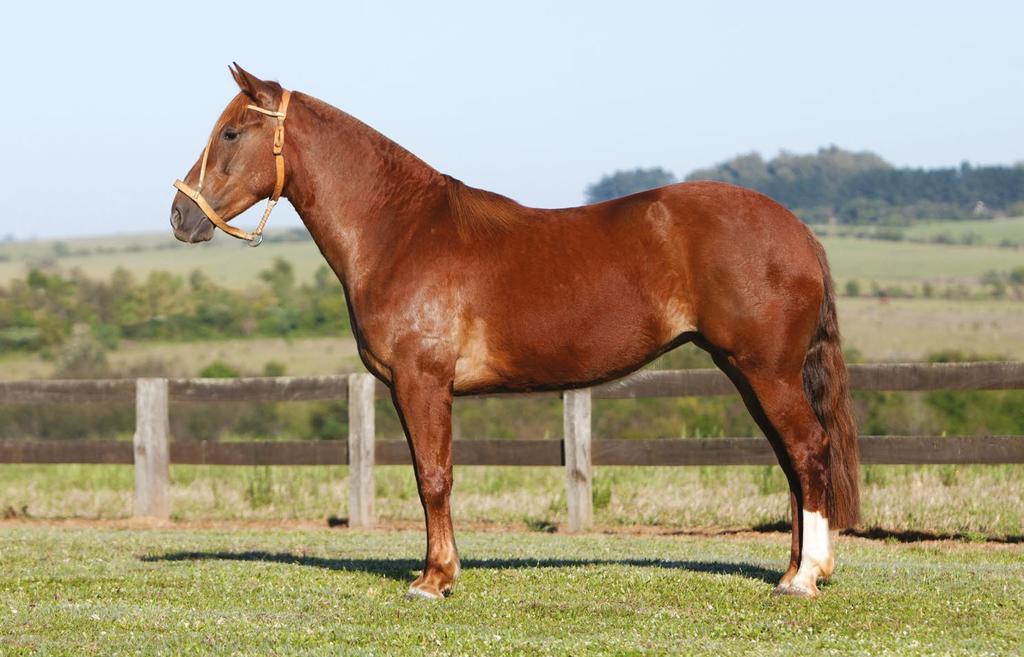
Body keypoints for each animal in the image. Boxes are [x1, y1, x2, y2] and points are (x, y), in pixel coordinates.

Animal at [172, 66, 860, 597]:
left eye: (231, 131)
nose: (180, 215)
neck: (401, 231)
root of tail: (797, 230)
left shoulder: (422, 383)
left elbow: (434, 476)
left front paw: (434, 580)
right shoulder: (407, 388)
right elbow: (428, 476)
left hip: (765, 371)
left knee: (807, 451)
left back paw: (806, 578)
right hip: (748, 373)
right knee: (791, 462)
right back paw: (792, 571)